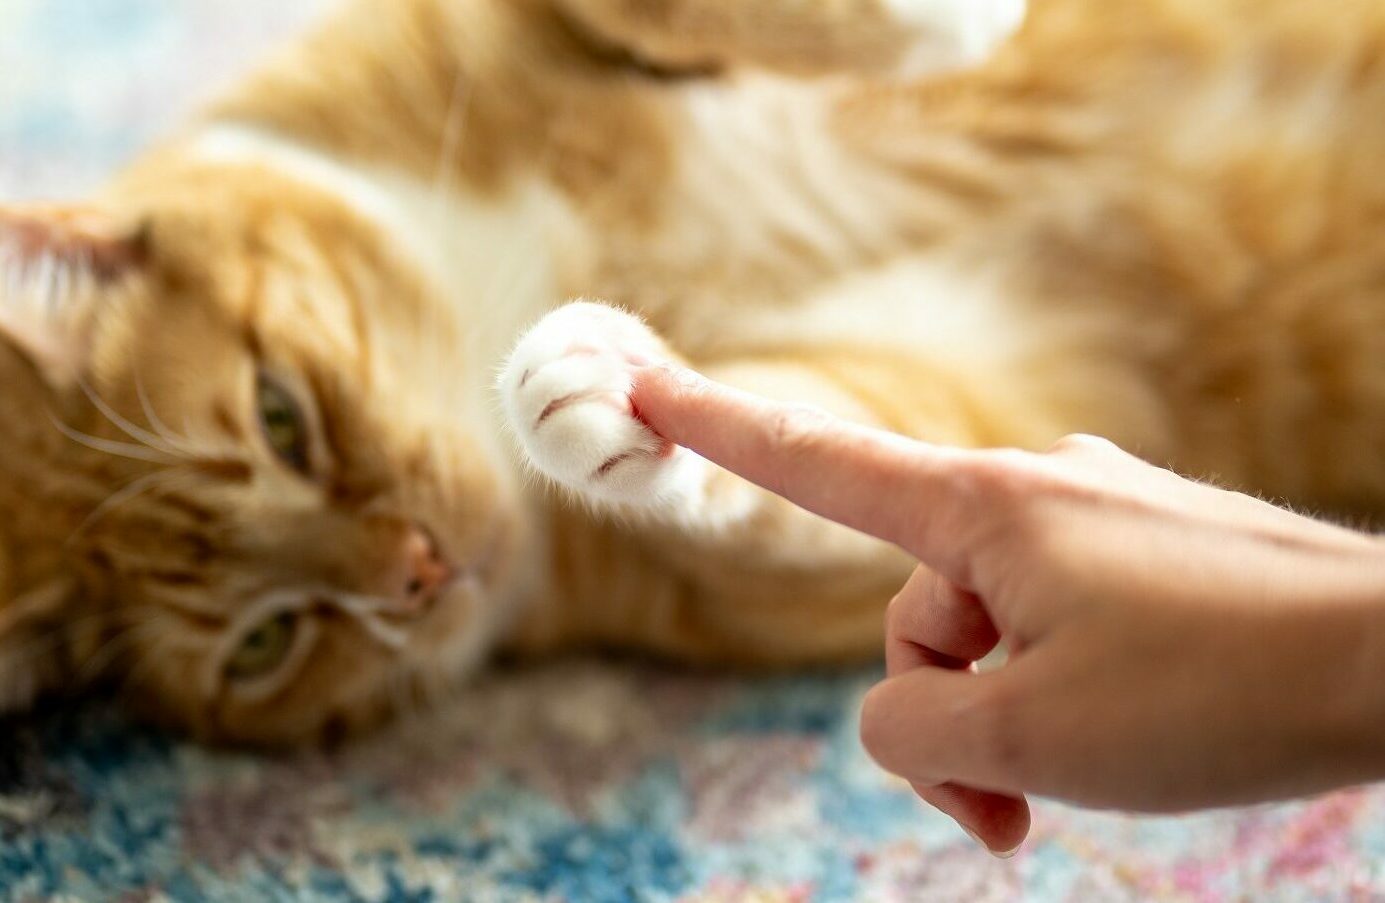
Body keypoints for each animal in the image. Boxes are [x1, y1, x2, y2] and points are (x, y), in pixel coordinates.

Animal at [2, 0, 1383, 746]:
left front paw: (934, 23)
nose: (418, 575)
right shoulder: (956, 409)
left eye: (281, 419)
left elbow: (640, 8)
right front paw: (593, 403)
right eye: (265, 645)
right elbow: (792, 471)